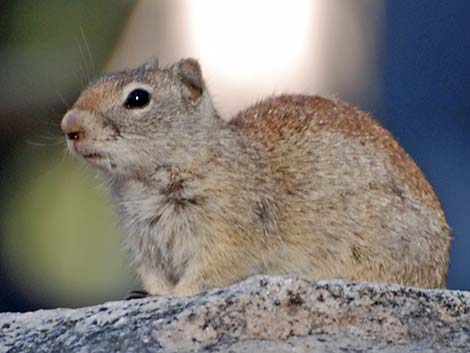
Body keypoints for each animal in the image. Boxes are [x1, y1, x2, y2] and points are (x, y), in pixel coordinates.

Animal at [60, 57, 450, 294]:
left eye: (138, 98)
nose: (69, 126)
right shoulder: (143, 243)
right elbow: (153, 277)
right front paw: (150, 295)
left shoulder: (227, 232)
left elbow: (206, 273)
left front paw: (177, 295)